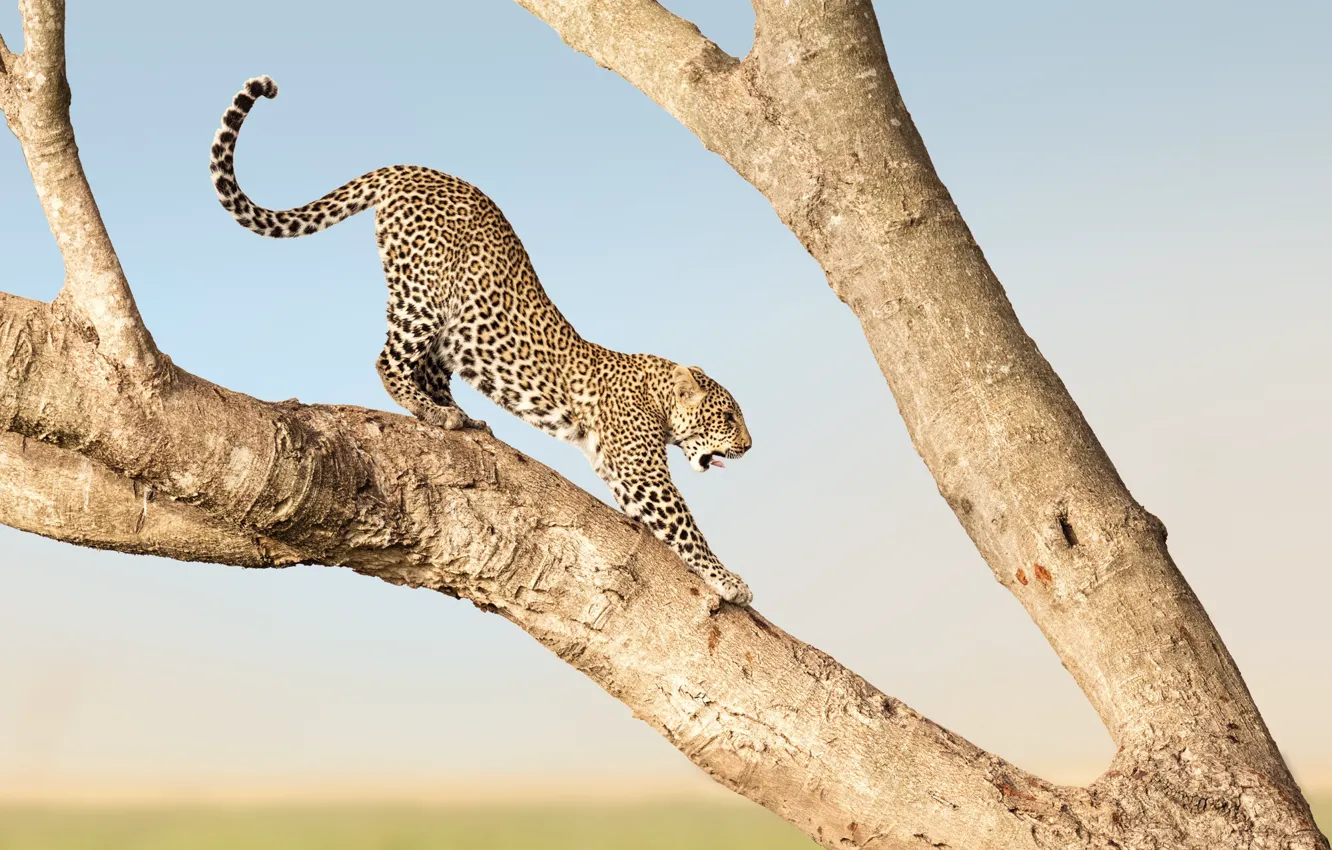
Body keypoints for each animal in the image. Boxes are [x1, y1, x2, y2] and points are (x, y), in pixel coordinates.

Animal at [209, 76, 755, 605]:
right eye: (728, 416)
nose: (749, 447)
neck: (656, 394)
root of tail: (414, 170)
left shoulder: (615, 465)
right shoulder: (642, 471)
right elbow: (685, 525)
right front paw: (729, 581)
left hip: (452, 327)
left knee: (427, 369)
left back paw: (462, 416)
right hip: (424, 295)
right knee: (388, 361)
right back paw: (437, 414)